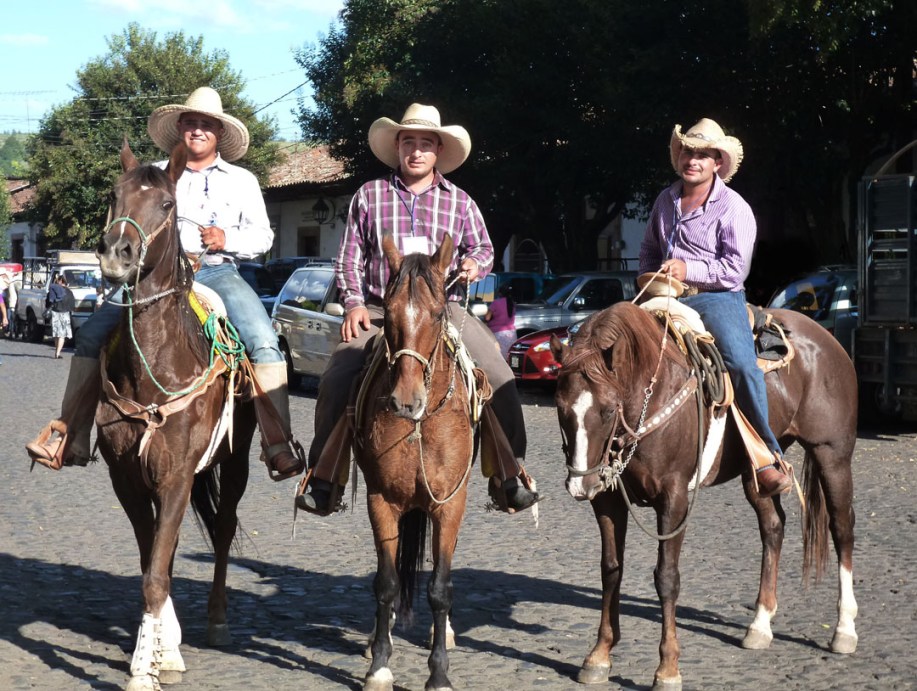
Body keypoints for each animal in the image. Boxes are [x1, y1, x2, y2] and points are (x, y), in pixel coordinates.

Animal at [95, 140, 257, 690]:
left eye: (166, 204)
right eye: (114, 193)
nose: (116, 254)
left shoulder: (178, 475)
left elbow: (157, 571)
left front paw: (142, 671)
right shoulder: (128, 478)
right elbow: (154, 564)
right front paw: (160, 653)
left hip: (236, 461)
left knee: (224, 529)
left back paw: (218, 620)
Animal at [355, 232, 477, 691]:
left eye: (439, 312)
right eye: (387, 313)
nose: (406, 401)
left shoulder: (449, 505)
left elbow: (440, 588)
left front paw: (438, 672)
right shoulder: (381, 501)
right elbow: (386, 583)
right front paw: (379, 664)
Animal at [551, 300, 858, 690]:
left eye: (607, 411)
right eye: (561, 408)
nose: (580, 486)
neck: (650, 394)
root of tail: (827, 340)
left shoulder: (674, 499)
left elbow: (667, 578)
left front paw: (668, 668)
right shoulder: (607, 500)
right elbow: (610, 570)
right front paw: (599, 654)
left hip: (832, 455)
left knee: (841, 529)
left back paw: (844, 630)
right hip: (756, 472)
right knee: (773, 526)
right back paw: (760, 625)